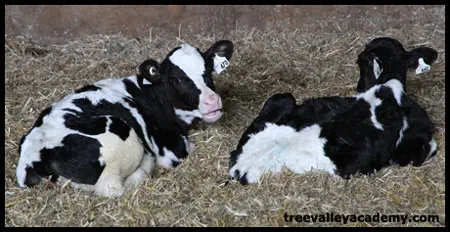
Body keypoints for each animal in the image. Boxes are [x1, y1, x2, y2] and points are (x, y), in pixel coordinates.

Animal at [16, 40, 236, 198]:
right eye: (177, 79)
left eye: (208, 71)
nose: (212, 101)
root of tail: (35, 156)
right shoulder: (172, 150)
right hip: (119, 137)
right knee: (113, 188)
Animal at [230, 37, 438, 184]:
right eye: (359, 63)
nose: (359, 86)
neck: (387, 85)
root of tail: (240, 168)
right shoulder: (416, 146)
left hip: (282, 97)